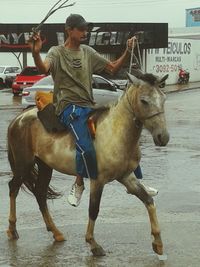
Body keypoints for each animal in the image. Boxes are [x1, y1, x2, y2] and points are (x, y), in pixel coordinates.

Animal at [6, 70, 169, 258]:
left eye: (163, 98)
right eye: (144, 100)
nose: (163, 137)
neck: (115, 132)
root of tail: (18, 119)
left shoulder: (126, 177)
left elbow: (148, 201)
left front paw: (158, 242)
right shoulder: (98, 180)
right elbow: (94, 209)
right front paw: (93, 244)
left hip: (45, 165)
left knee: (40, 193)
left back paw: (56, 232)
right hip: (23, 164)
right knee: (13, 188)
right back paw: (12, 229)